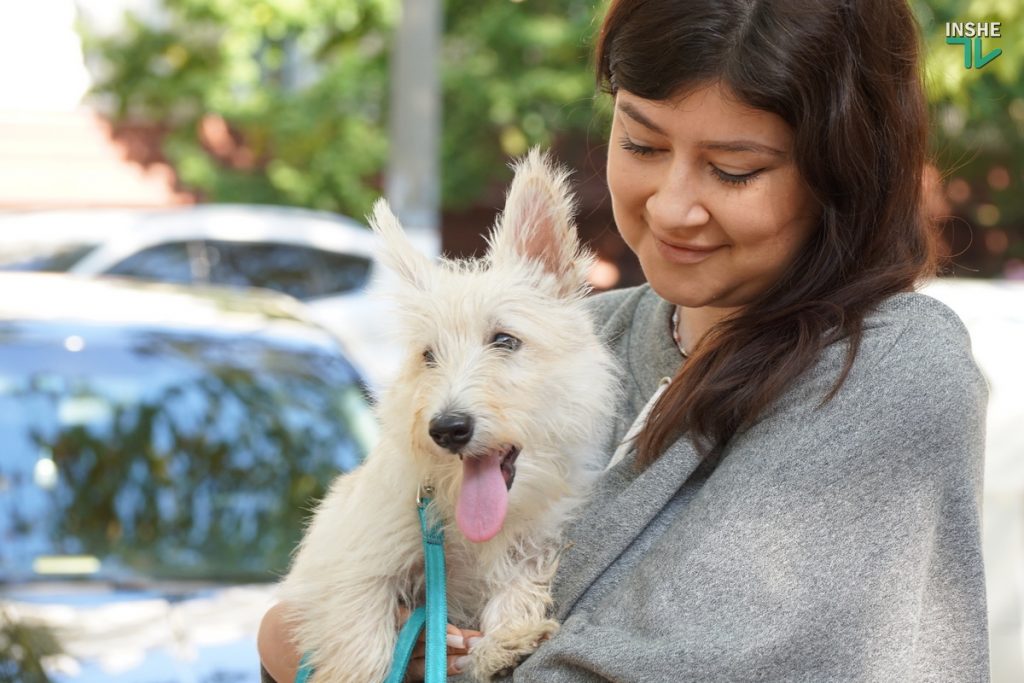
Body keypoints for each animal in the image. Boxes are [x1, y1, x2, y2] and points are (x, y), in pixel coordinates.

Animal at [278, 150, 614, 683]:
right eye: (428, 356)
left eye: (505, 340)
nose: (448, 429)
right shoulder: (350, 570)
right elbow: (362, 647)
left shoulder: (527, 551)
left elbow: (512, 595)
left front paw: (503, 644)